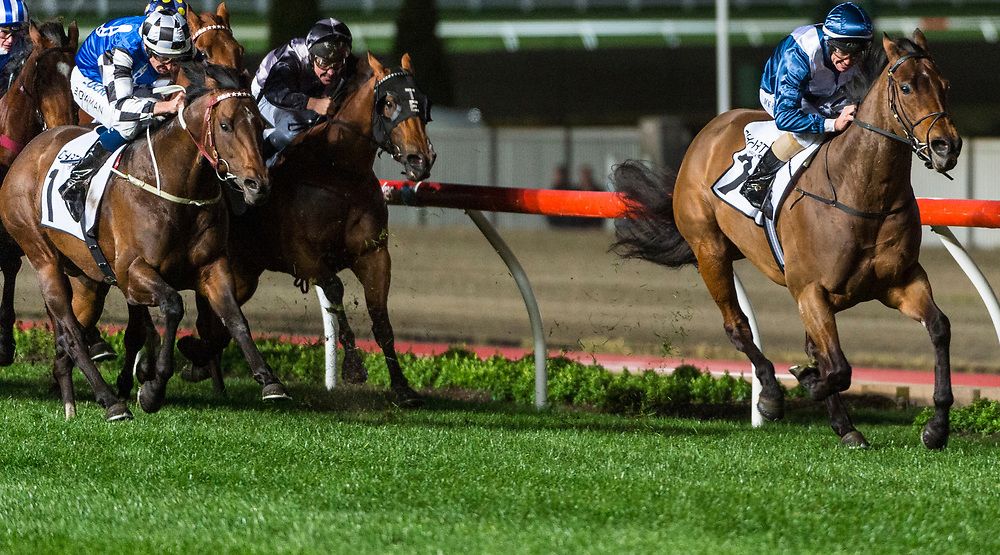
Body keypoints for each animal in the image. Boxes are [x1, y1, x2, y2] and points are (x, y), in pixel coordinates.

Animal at [0, 63, 286, 421]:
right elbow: (173, 306)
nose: (257, 185)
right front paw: (152, 388)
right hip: (42, 257)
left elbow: (234, 318)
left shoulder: (213, 267)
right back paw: (111, 401)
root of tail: (28, 151)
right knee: (73, 333)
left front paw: (269, 380)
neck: (178, 191)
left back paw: (70, 401)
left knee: (68, 334)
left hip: (86, 279)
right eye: (225, 125)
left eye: (260, 125)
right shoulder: (133, 272)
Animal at [174, 52, 436, 406]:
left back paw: (201, 362)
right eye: (389, 102)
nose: (420, 159)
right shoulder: (305, 256)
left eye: (421, 100)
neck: (338, 172)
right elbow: (335, 293)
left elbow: (380, 317)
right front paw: (354, 367)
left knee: (215, 316)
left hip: (243, 273)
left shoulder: (373, 253)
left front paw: (402, 387)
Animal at [612, 31, 961, 449]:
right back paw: (773, 395)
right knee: (738, 326)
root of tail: (710, 130)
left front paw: (936, 427)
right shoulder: (810, 289)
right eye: (907, 87)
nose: (947, 146)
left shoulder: (901, 282)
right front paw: (803, 384)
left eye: (945, 85)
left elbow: (939, 328)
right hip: (710, 250)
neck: (861, 192)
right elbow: (838, 368)